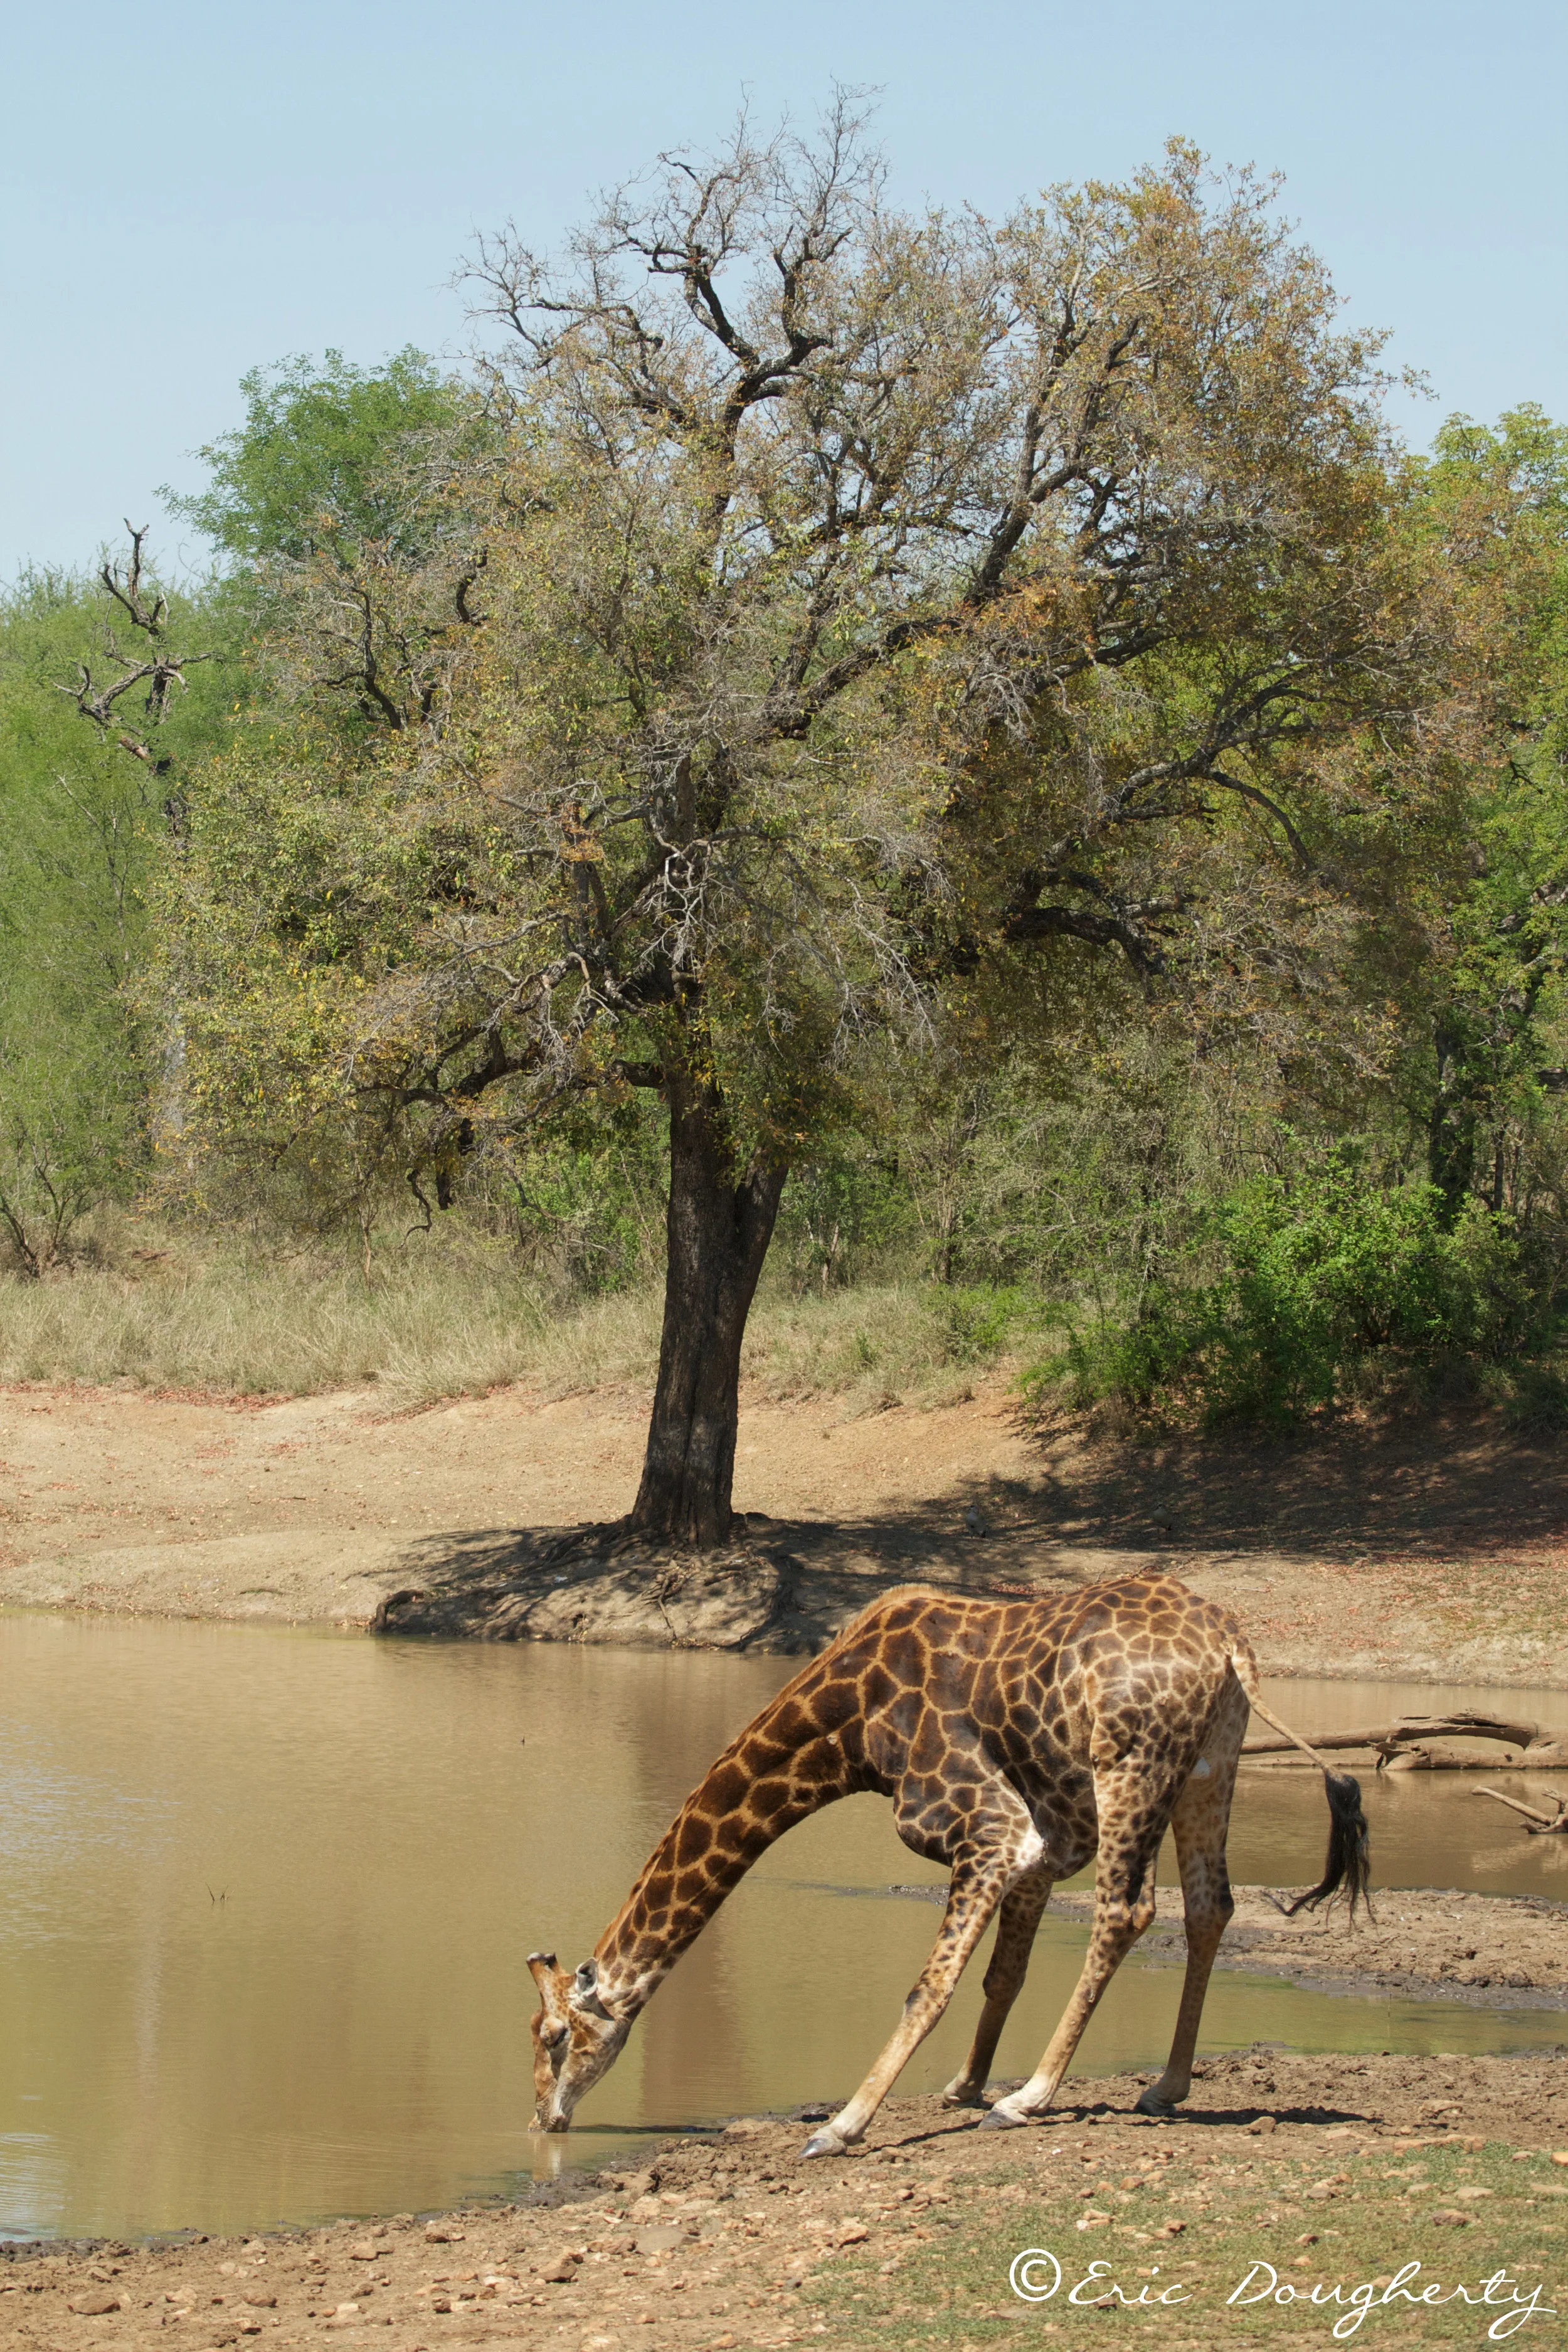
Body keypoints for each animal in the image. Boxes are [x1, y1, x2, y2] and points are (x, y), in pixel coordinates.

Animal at [528, 1572, 1369, 2156]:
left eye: (553, 2037)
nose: (542, 2119)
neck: (848, 1727)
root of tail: (1228, 1645)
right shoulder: (1043, 1845)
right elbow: (1003, 1974)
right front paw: (963, 2084)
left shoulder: (989, 1829)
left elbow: (927, 1988)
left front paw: (842, 2126)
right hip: (1208, 1769)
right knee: (1208, 1907)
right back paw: (1164, 2086)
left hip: (1131, 1764)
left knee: (1126, 1912)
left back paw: (1029, 2098)